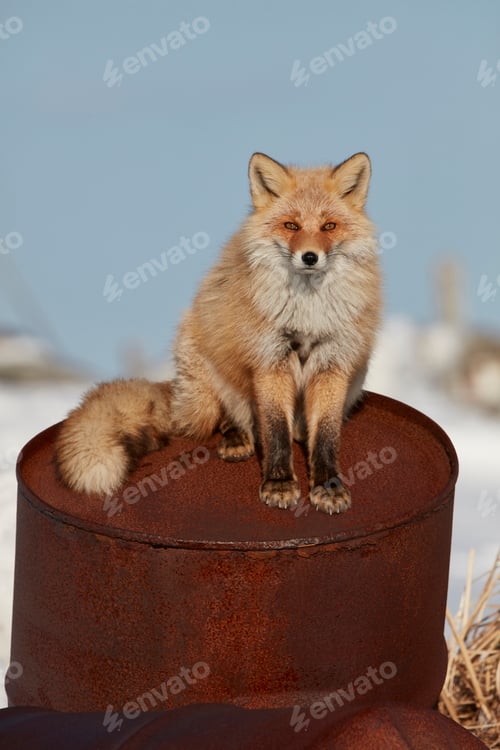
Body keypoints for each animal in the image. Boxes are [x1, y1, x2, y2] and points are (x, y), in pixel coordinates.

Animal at [56, 151, 382, 515]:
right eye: (291, 226)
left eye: (329, 226)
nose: (310, 257)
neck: (307, 312)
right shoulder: (269, 361)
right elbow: (275, 432)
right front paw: (279, 483)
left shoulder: (333, 362)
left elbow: (325, 434)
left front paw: (327, 485)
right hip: (206, 376)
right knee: (227, 416)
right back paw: (236, 436)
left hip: (358, 374)